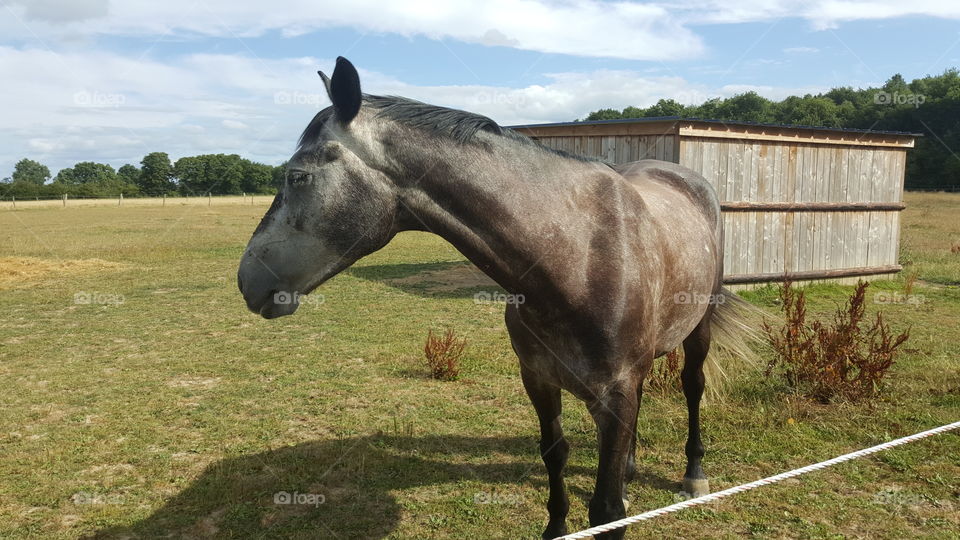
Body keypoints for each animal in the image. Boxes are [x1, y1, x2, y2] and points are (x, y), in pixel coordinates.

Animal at [240, 57, 756, 536]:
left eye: (298, 177)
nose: (246, 280)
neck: (578, 258)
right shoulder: (540, 381)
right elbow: (555, 455)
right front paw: (557, 525)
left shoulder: (614, 392)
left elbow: (607, 512)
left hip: (698, 329)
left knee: (693, 386)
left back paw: (693, 474)